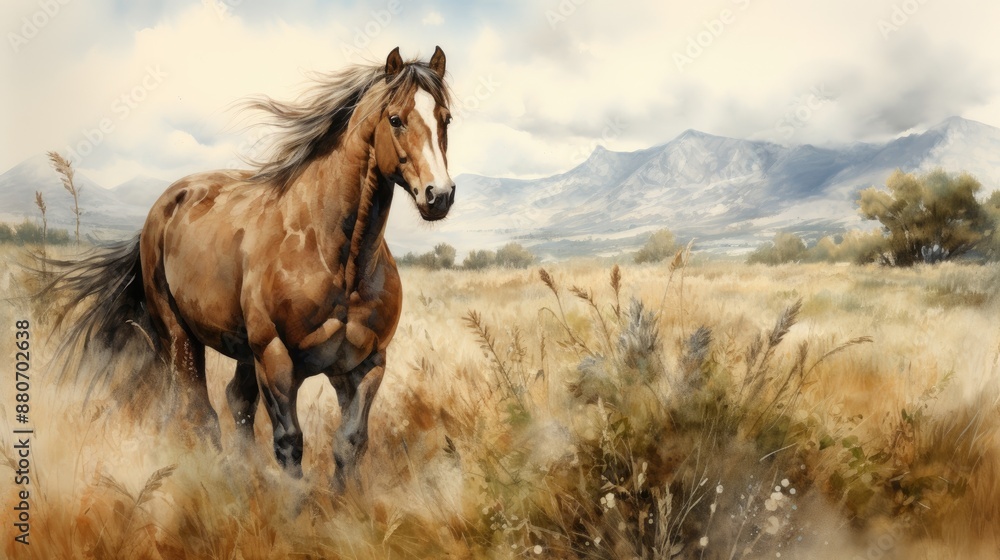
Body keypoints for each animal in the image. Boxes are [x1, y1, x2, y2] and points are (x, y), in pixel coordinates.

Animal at [45, 46, 455, 486]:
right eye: (395, 119)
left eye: (445, 118)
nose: (439, 195)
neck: (337, 259)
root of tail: (164, 206)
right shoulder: (275, 359)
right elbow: (289, 444)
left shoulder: (366, 365)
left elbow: (349, 444)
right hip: (180, 336)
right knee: (199, 412)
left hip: (241, 349)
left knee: (234, 403)